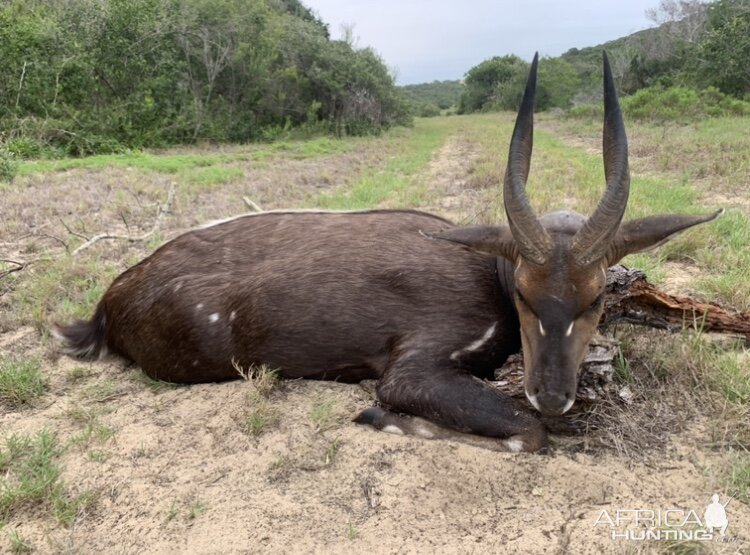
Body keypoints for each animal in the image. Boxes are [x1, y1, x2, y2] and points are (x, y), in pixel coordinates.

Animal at [55, 53, 720, 452]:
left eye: (596, 298)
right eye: (527, 297)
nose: (552, 393)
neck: (487, 274)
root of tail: (107, 305)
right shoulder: (414, 369)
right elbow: (525, 432)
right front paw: (377, 417)